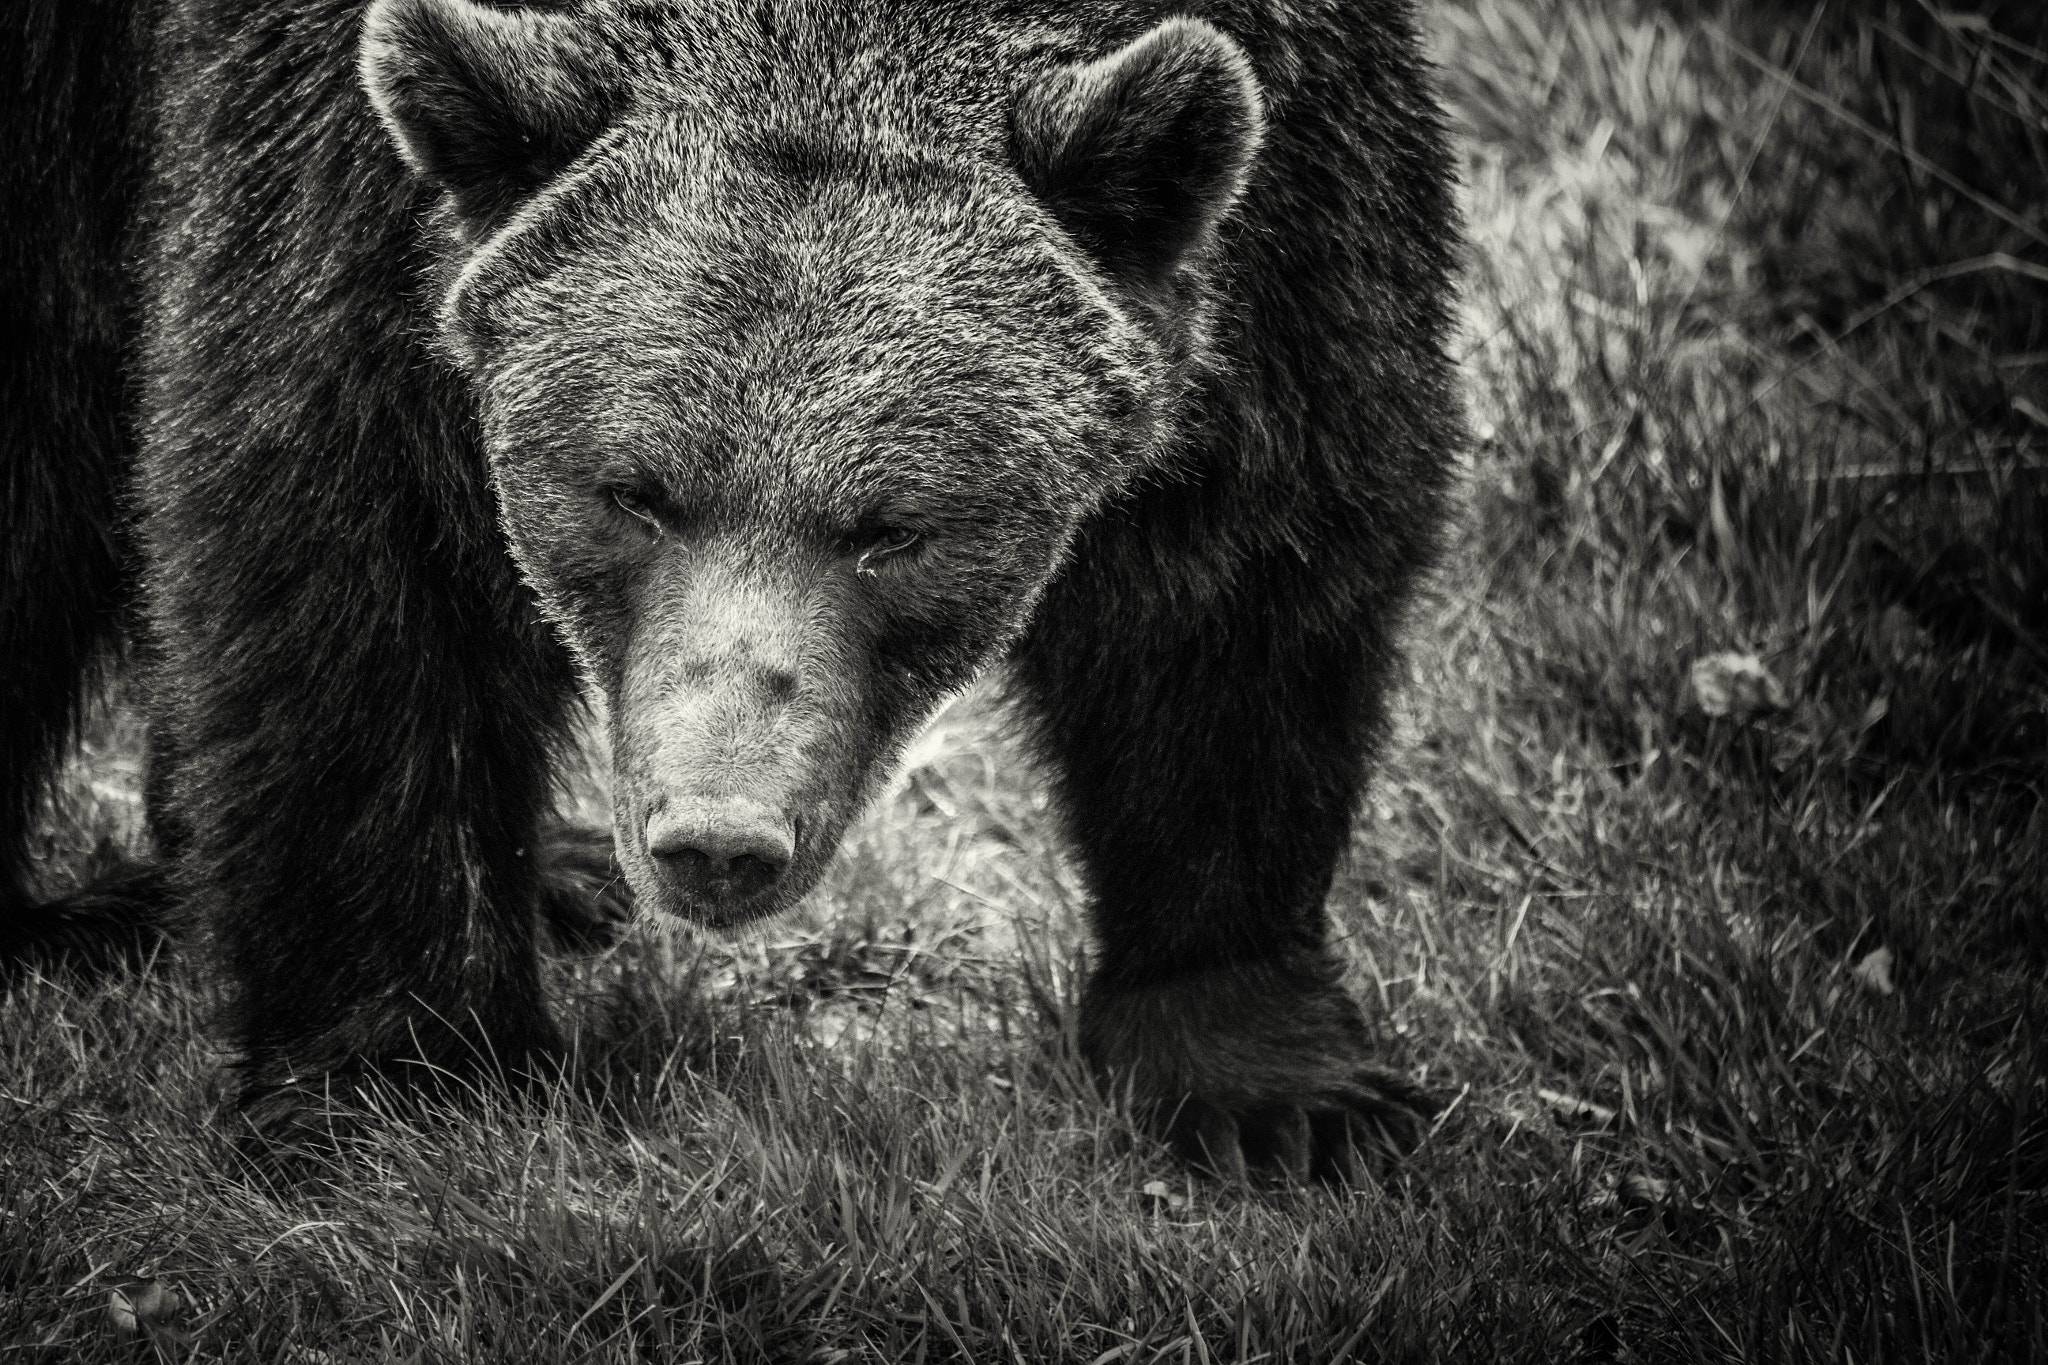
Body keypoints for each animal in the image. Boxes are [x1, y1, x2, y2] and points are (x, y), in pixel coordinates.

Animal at [0, 0, 1463, 1182]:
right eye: (631, 491)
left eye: (891, 528)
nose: (716, 836)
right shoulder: (328, 173)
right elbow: (350, 548)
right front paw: (400, 1087)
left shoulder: (1298, 149)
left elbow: (1253, 549)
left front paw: (1275, 1087)